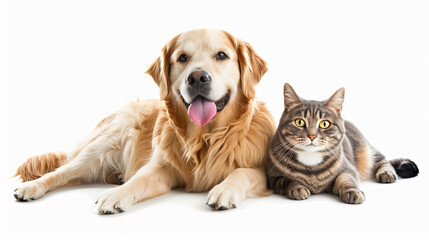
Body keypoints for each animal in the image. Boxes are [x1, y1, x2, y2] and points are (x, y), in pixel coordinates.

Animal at [13, 28, 276, 214]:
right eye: (182, 58)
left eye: (221, 55)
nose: (197, 78)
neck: (204, 136)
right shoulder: (161, 168)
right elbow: (139, 180)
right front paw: (116, 194)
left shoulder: (262, 170)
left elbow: (242, 172)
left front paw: (224, 190)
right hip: (101, 147)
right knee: (61, 171)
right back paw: (30, 187)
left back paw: (116, 176)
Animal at [264, 83, 418, 203]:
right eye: (299, 122)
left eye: (324, 124)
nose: (312, 136)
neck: (310, 160)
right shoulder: (273, 177)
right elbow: (287, 180)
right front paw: (297, 188)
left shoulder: (348, 169)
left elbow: (346, 179)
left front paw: (352, 191)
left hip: (367, 150)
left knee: (382, 159)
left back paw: (386, 172)